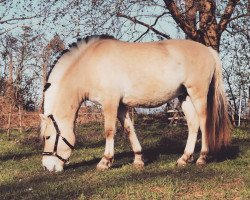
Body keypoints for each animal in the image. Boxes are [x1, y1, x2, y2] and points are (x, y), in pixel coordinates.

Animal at [40, 34, 230, 172]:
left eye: (48, 137)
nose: (47, 166)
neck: (90, 65)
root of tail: (207, 50)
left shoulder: (110, 103)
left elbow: (109, 131)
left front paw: (105, 161)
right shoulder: (121, 106)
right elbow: (129, 129)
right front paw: (138, 160)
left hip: (197, 93)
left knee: (204, 122)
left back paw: (202, 157)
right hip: (184, 96)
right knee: (193, 124)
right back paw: (184, 158)